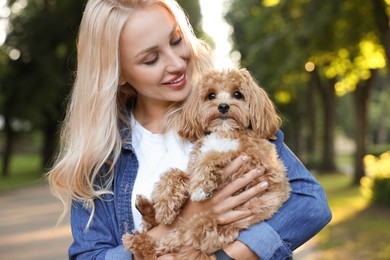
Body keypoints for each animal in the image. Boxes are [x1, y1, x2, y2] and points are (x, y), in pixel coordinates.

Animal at [122, 68, 290, 258]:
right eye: (211, 95)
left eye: (237, 94)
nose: (223, 106)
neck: (223, 131)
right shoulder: (194, 164)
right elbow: (175, 174)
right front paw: (165, 204)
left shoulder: (251, 158)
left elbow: (213, 156)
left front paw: (200, 188)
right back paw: (145, 210)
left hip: (201, 226)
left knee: (162, 246)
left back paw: (139, 243)